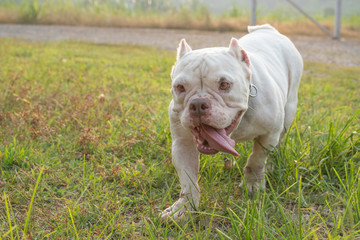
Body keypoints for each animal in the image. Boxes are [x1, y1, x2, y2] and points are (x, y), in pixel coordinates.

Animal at [162, 24, 302, 221]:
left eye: (224, 85)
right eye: (180, 87)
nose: (198, 104)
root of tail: (268, 29)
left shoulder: (269, 135)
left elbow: (256, 159)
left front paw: (252, 184)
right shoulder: (182, 144)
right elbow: (187, 177)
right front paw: (184, 207)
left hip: (288, 112)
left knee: (279, 142)